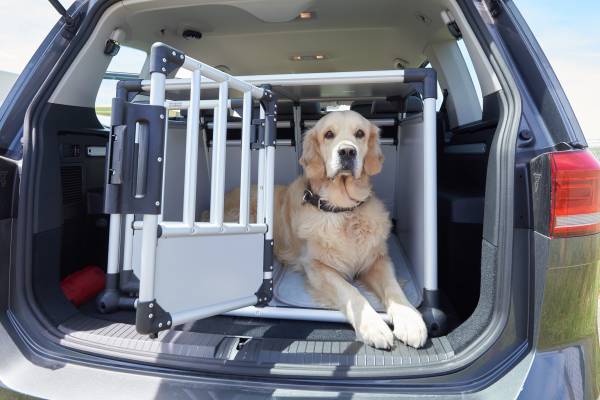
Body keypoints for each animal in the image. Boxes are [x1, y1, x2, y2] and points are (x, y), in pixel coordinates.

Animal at [224, 111, 426, 348]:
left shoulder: (377, 259)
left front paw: (410, 320)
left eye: (360, 133)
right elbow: (351, 292)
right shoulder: (317, 267)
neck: (343, 210)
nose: (347, 151)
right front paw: (373, 325)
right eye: (329, 134)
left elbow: (393, 288)